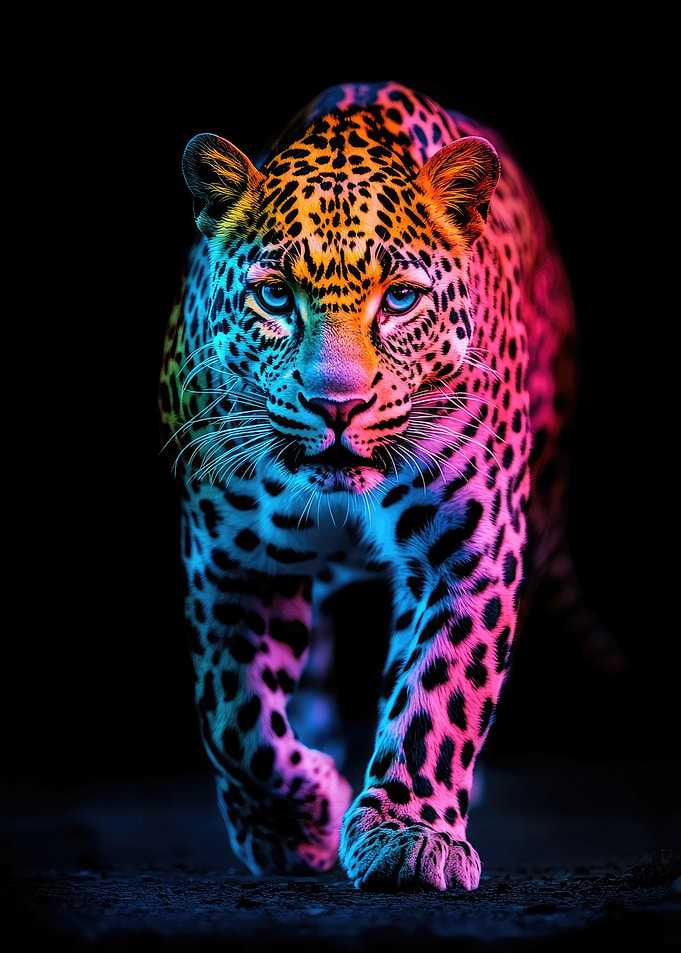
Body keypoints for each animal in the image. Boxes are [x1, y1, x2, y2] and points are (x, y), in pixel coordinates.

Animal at [158, 80, 583, 891]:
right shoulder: (230, 560)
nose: (337, 404)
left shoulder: (471, 549)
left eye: (400, 300)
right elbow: (231, 710)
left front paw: (409, 833)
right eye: (273, 297)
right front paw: (293, 825)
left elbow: (441, 692)